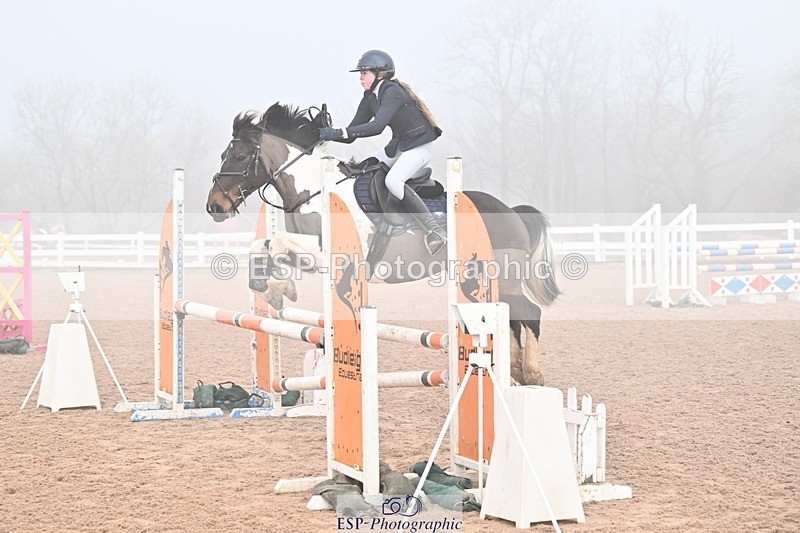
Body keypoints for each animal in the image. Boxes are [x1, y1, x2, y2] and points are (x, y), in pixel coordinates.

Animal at [206, 103, 561, 386]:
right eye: (223, 155)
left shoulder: (330, 254)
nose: (214, 207)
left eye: (239, 156)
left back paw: (532, 374)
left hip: (502, 275)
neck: (316, 190)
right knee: (512, 318)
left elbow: (277, 241)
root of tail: (512, 211)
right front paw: (274, 289)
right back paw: (515, 372)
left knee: (528, 313)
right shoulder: (310, 255)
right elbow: (264, 246)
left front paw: (280, 289)